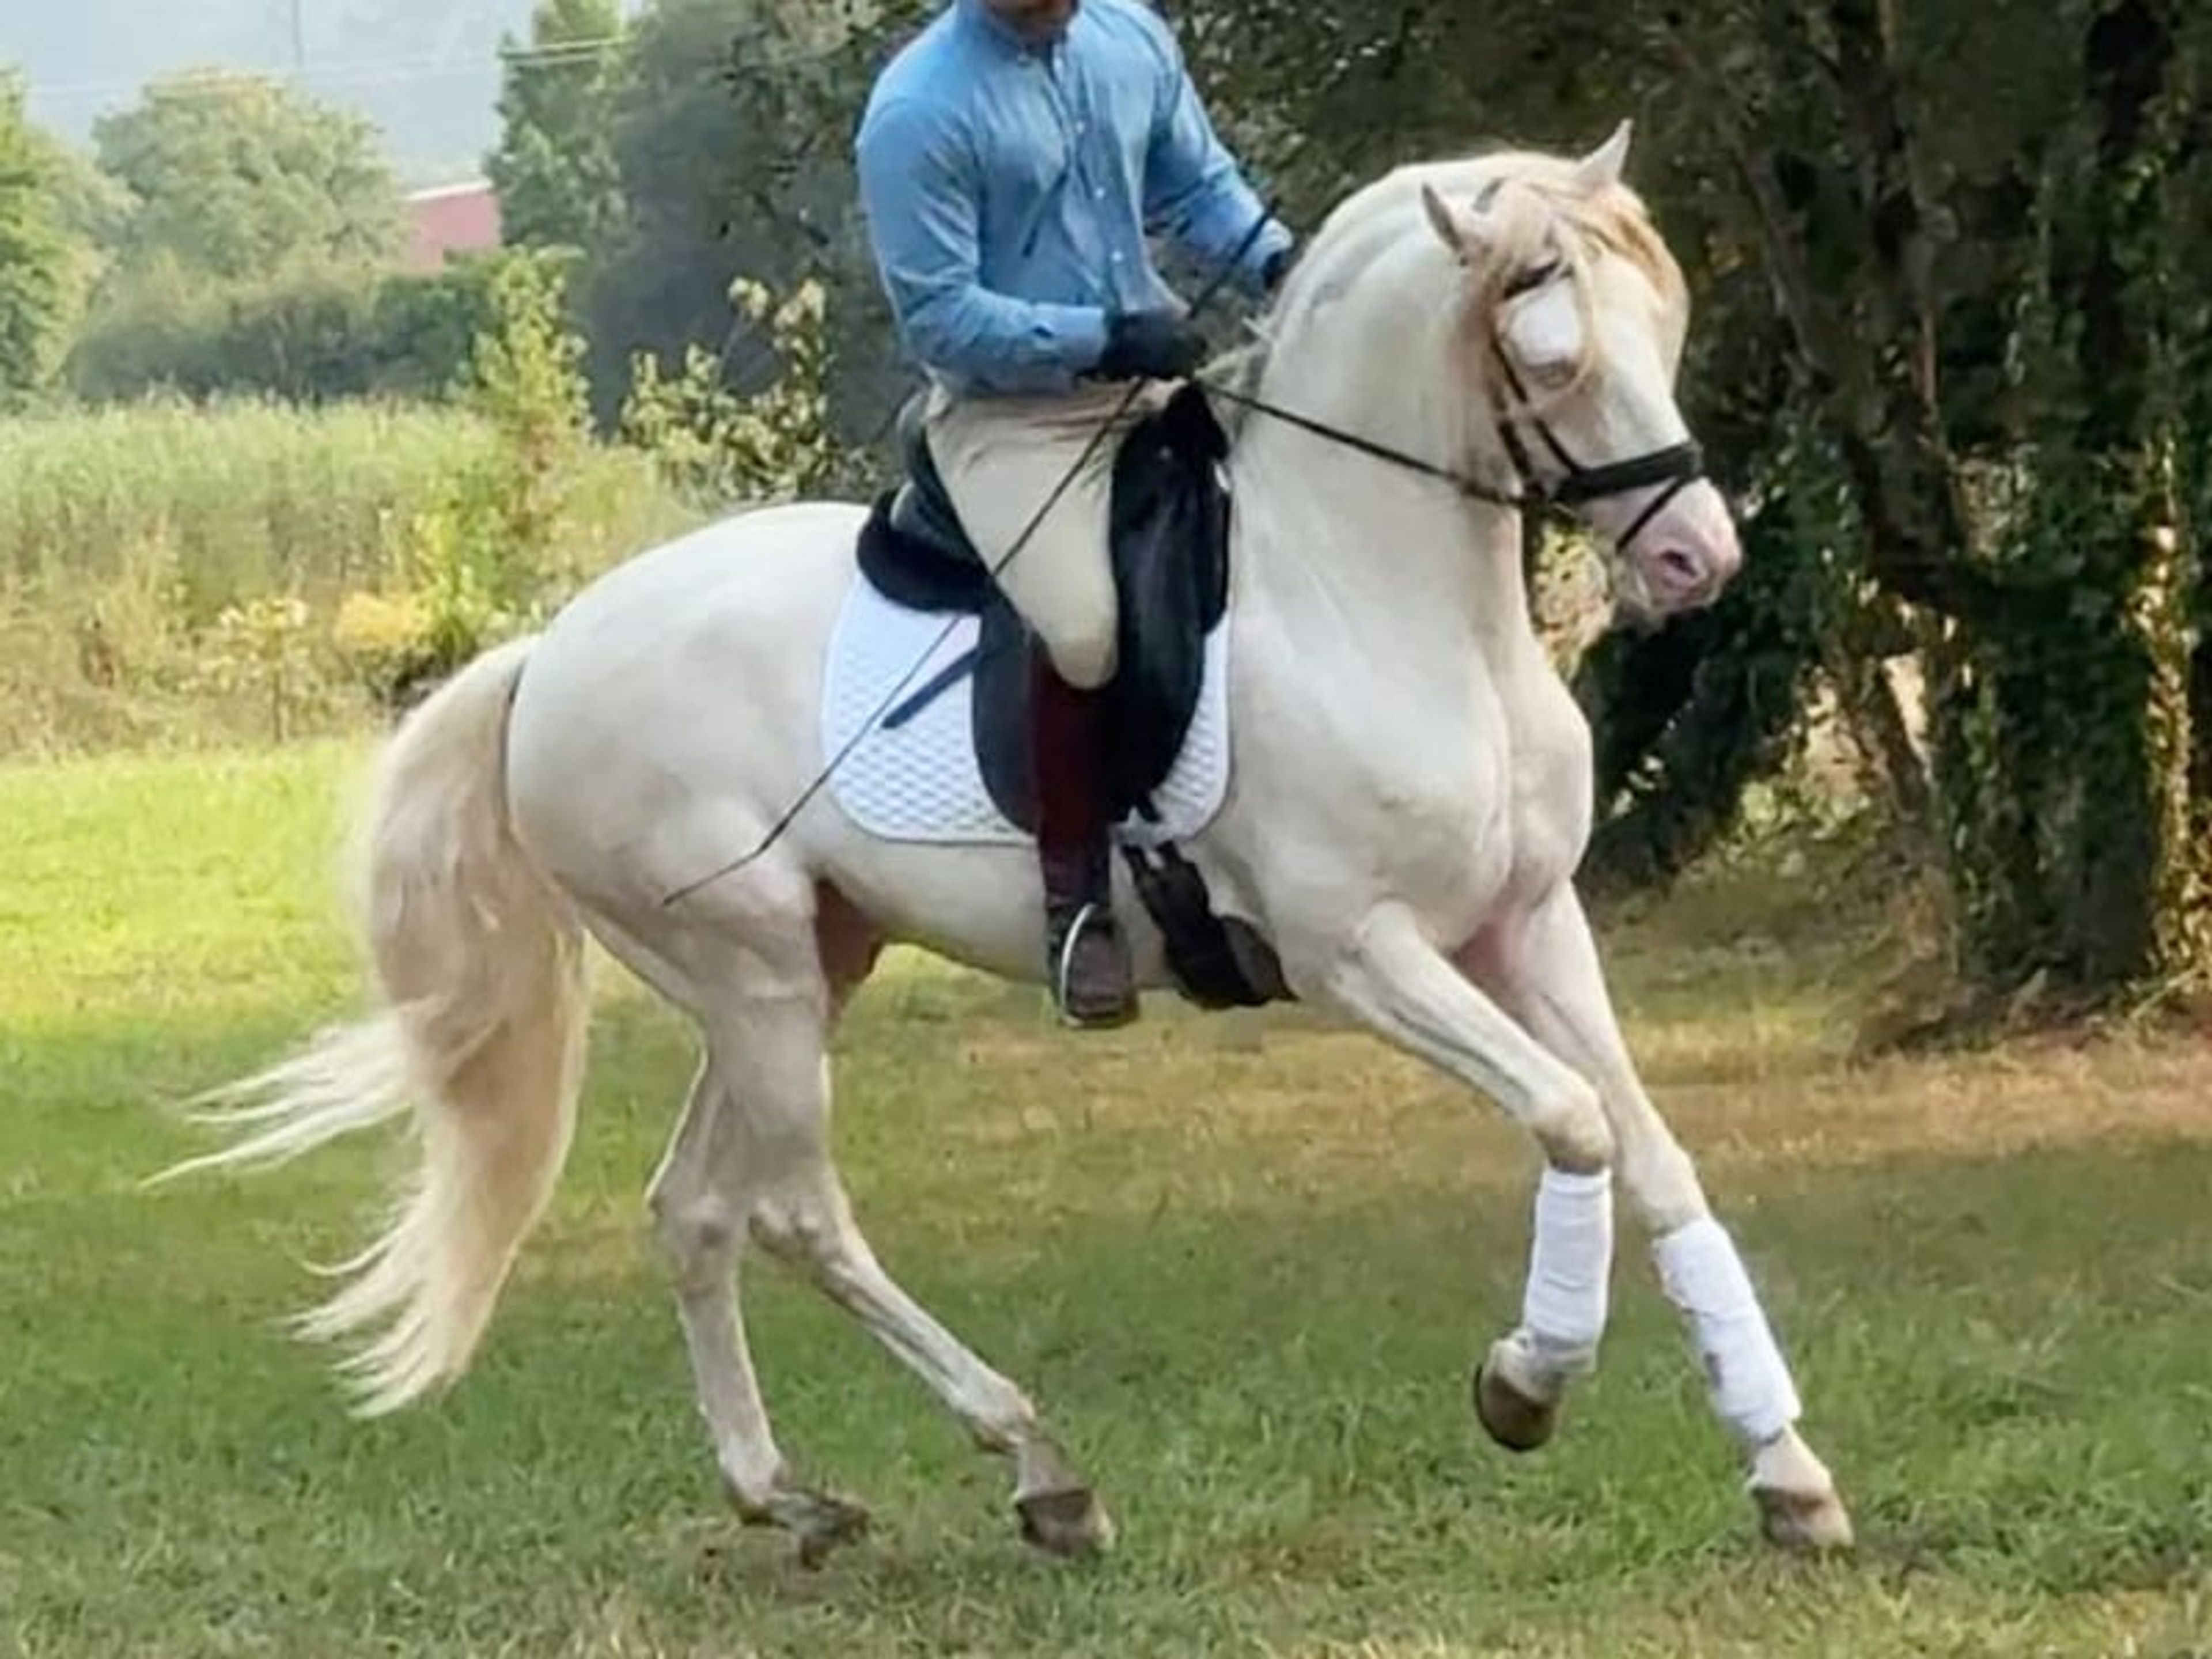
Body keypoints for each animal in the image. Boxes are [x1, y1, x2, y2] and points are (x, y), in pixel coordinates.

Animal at [165, 122, 1854, 1565]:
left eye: (1666, 326)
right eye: (1550, 353)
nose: (1696, 558)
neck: (1376, 598)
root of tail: (546, 656)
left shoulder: (1529, 920)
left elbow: (1651, 1153)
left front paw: (1785, 1472)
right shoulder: (1357, 951)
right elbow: (1570, 1124)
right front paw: (1524, 1383)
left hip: (805, 963)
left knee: (694, 1209)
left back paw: (788, 1497)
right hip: (752, 969)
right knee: (794, 1213)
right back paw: (1041, 1471)